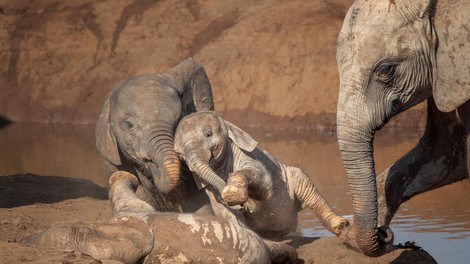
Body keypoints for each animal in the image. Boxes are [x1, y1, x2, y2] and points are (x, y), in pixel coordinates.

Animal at [174, 110, 350, 238]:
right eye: (180, 156)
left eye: (208, 134)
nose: (242, 206)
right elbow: (223, 211)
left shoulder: (245, 154)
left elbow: (264, 184)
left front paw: (232, 194)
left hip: (294, 177)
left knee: (310, 193)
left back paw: (340, 225)